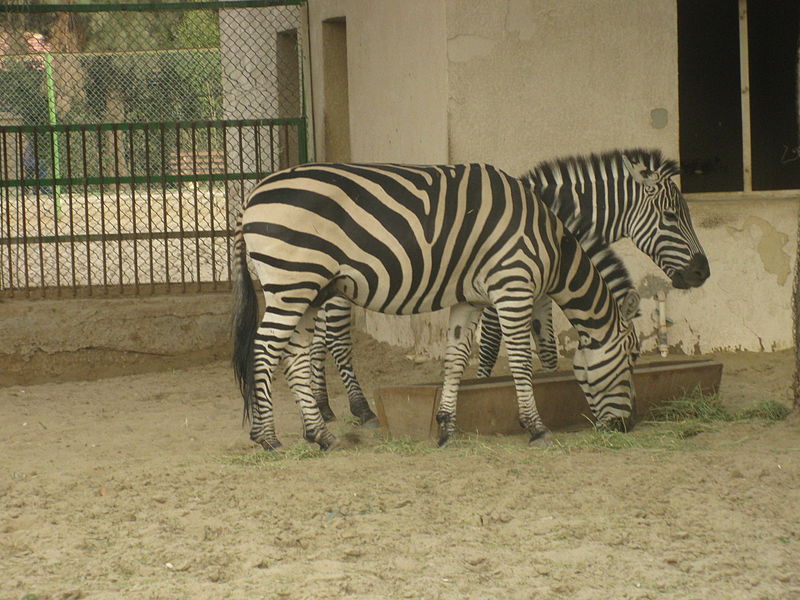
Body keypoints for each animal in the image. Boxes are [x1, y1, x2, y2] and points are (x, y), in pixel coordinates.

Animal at [230, 162, 636, 452]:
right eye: (632, 360)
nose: (627, 427)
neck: (551, 241)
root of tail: (252, 196)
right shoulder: (512, 287)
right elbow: (520, 361)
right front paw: (536, 427)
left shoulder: (468, 300)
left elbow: (455, 360)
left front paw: (446, 426)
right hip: (293, 283)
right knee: (264, 350)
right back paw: (268, 438)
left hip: (307, 291)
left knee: (294, 356)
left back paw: (319, 435)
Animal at [310, 148, 708, 424]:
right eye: (671, 217)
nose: (702, 272)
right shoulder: (499, 283)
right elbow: (489, 346)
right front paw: (484, 387)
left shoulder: (535, 286)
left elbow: (545, 347)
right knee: (336, 340)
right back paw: (360, 409)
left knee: (317, 339)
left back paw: (324, 408)